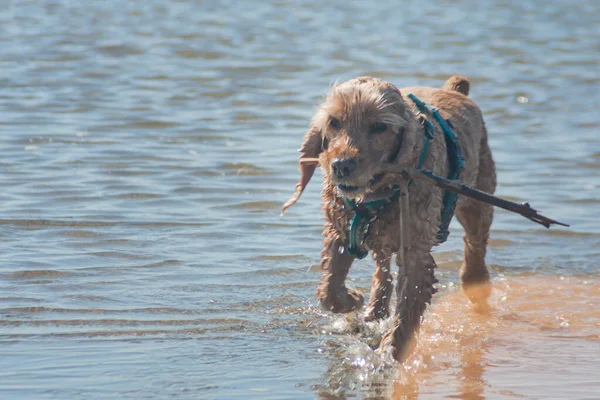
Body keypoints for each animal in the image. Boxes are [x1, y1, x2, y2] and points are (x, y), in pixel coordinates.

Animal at [284, 76, 494, 362]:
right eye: (334, 122)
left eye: (380, 127)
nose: (341, 166)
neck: (375, 192)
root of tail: (454, 89)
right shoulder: (341, 230)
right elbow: (329, 288)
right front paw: (352, 299)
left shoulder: (415, 249)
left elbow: (408, 304)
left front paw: (391, 349)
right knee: (382, 269)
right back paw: (375, 310)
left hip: (478, 197)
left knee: (475, 242)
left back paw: (474, 278)